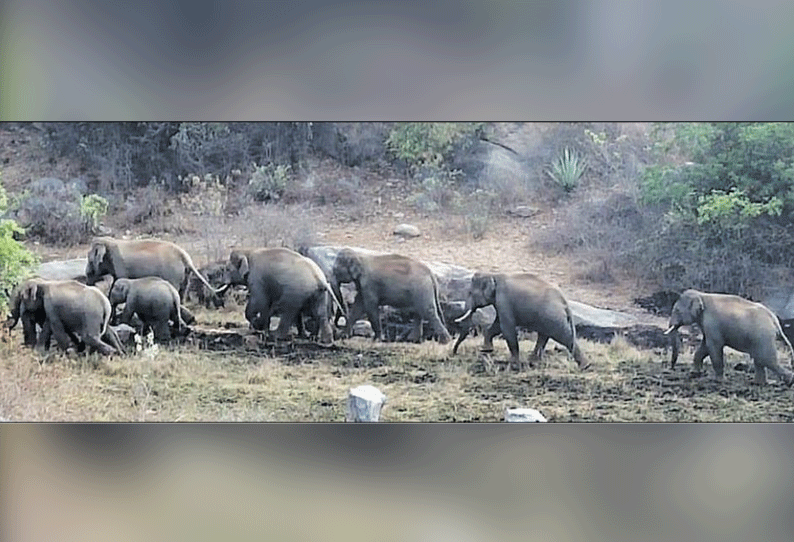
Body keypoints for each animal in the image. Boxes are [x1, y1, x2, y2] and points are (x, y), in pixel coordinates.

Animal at [84, 237, 226, 302]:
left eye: (90, 259)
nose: (88, 278)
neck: (109, 242)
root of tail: (184, 256)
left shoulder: (120, 265)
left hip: (173, 273)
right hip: (185, 274)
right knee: (183, 290)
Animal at [452, 274, 588, 372]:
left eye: (470, 293)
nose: (454, 352)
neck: (493, 275)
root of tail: (565, 302)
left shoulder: (503, 300)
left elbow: (506, 328)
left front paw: (514, 365)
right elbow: (496, 326)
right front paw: (487, 350)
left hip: (553, 317)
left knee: (563, 337)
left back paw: (584, 366)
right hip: (549, 318)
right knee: (544, 336)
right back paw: (533, 362)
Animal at [664, 288, 792, 386]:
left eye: (677, 310)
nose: (672, 368)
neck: (702, 294)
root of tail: (775, 320)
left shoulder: (712, 323)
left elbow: (714, 346)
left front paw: (718, 381)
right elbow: (704, 347)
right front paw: (694, 374)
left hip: (763, 336)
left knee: (766, 359)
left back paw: (790, 381)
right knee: (760, 359)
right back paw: (758, 383)